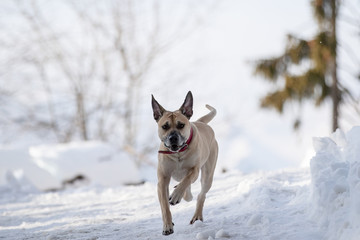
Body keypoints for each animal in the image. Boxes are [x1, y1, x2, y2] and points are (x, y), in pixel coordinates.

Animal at [151, 91, 218, 235]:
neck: (178, 153)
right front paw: (167, 225)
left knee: (201, 195)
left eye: (181, 125)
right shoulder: (163, 179)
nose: (173, 138)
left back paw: (196, 215)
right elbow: (164, 206)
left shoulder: (194, 170)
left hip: (207, 174)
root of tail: (200, 122)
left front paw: (176, 195)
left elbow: (187, 179)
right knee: (188, 191)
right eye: (165, 126)